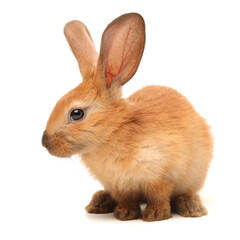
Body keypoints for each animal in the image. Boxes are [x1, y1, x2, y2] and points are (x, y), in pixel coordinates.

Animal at [41, 12, 214, 220]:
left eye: (76, 113)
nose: (44, 142)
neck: (113, 132)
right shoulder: (120, 186)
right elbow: (127, 199)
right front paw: (125, 214)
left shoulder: (160, 176)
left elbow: (159, 196)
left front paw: (155, 215)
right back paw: (99, 202)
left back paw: (191, 207)